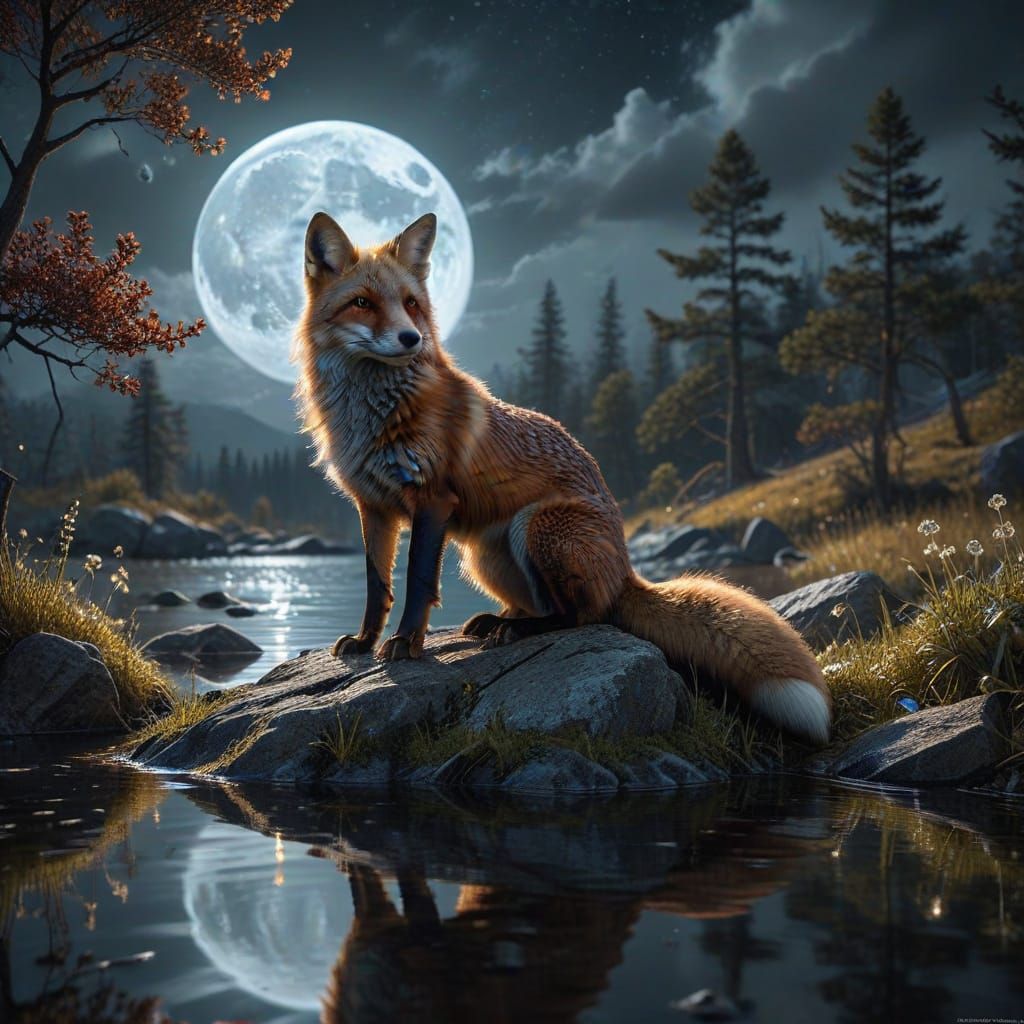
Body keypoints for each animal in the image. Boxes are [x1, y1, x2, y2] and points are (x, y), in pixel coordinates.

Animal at [293, 211, 831, 744]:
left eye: (410, 304)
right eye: (362, 303)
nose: (412, 339)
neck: (372, 413)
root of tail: (627, 570)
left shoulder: (432, 500)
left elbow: (419, 582)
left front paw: (406, 643)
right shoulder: (374, 506)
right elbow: (376, 587)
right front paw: (365, 641)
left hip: (537, 527)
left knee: (581, 616)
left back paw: (518, 630)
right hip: (484, 555)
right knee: (544, 605)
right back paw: (499, 621)